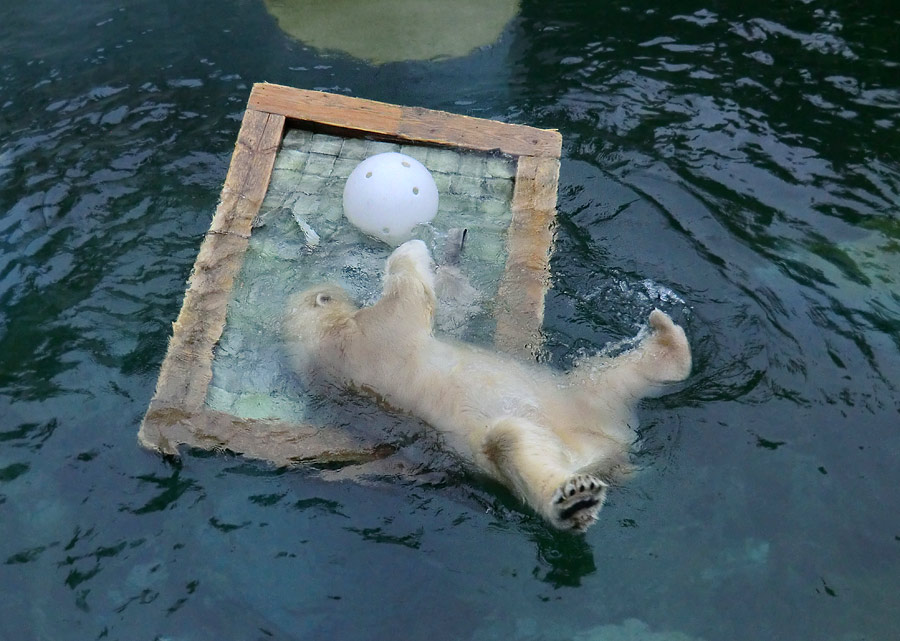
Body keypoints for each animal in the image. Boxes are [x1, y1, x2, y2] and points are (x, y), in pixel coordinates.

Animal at [284, 240, 692, 528]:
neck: (318, 346)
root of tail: (608, 451)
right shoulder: (370, 337)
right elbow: (407, 295)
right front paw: (413, 248)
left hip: (578, 395)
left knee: (615, 375)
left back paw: (667, 339)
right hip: (537, 435)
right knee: (513, 445)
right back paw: (573, 500)